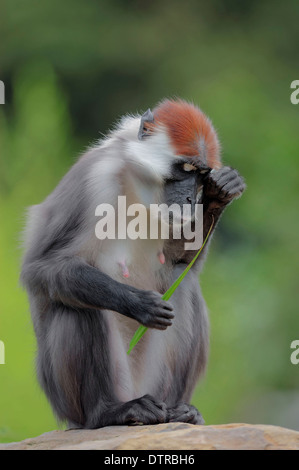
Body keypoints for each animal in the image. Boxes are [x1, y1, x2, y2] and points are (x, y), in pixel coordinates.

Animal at [20, 97, 246, 428]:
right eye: (186, 168)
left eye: (202, 176)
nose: (191, 200)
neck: (140, 188)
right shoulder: (94, 178)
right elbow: (40, 269)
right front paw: (138, 303)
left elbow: (180, 261)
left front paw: (223, 191)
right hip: (70, 397)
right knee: (72, 302)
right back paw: (108, 411)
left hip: (156, 382)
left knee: (183, 281)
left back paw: (180, 411)